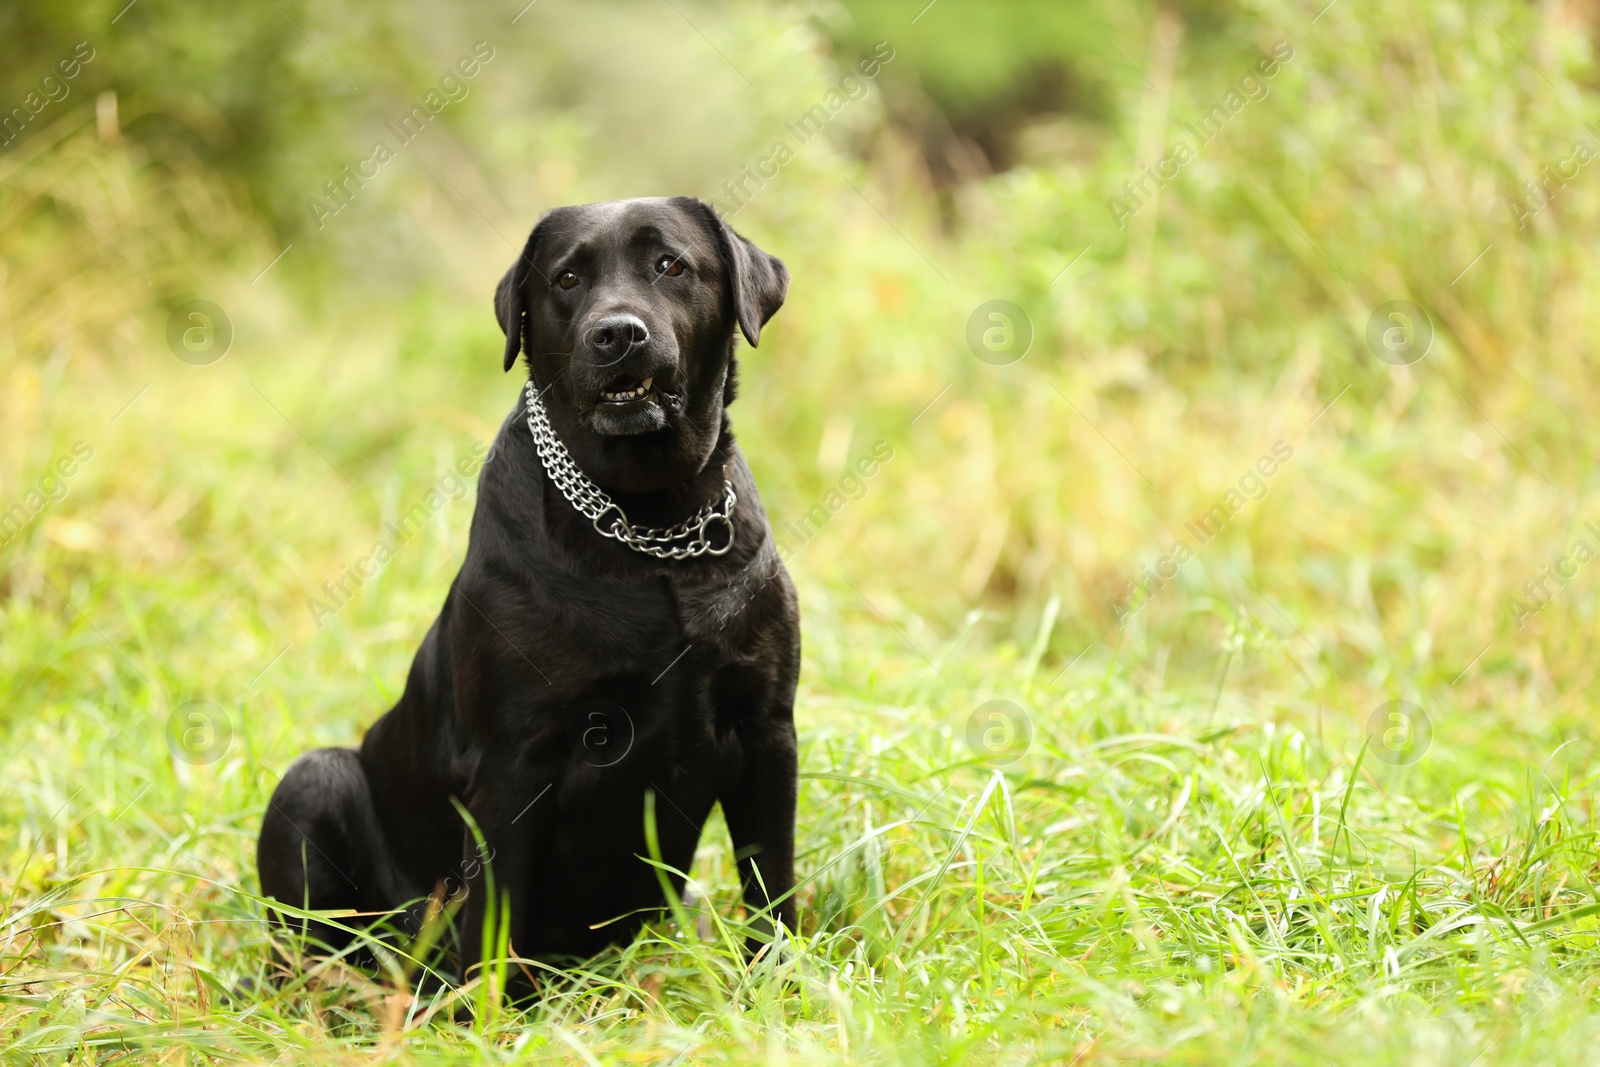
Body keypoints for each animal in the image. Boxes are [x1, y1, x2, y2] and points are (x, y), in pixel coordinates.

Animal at [259, 195, 800, 979]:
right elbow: (492, 916)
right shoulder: (514, 764)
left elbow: (774, 884)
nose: (617, 333)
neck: (650, 525)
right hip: (314, 782)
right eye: (567, 278)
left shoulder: (767, 730)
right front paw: (483, 1007)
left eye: (670, 265)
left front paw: (780, 985)